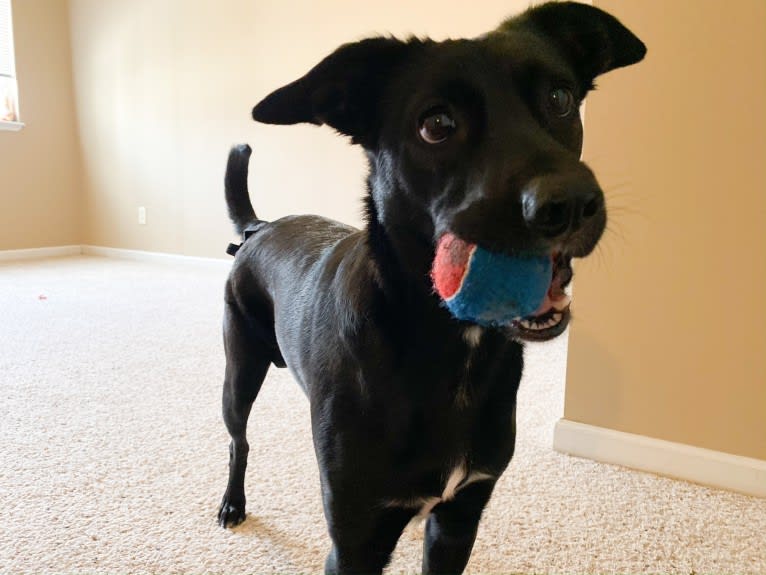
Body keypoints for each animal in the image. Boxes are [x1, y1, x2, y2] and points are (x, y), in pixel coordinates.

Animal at [219, 3, 644, 572]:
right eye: (436, 125)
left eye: (560, 99)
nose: (572, 203)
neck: (453, 350)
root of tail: (260, 227)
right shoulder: (356, 543)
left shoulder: (459, 519)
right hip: (239, 371)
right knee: (238, 441)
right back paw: (232, 502)